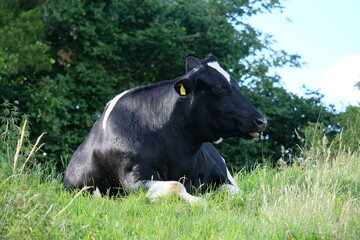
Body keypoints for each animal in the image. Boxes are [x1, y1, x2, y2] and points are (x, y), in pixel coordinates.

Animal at [63, 54, 268, 202]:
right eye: (221, 88)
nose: (262, 120)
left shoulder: (221, 178)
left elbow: (235, 192)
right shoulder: (132, 179)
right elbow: (175, 186)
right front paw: (199, 201)